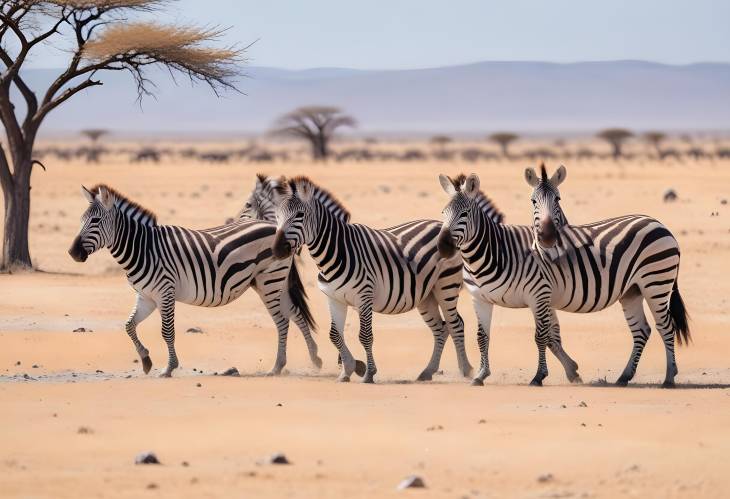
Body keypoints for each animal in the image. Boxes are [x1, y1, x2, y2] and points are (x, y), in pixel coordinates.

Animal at [68, 186, 318, 376]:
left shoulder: (165, 292)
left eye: (95, 220)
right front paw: (146, 360)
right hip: (271, 282)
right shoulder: (146, 296)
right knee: (295, 313)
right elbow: (129, 326)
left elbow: (167, 331)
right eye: (81, 220)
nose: (72, 253)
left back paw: (277, 367)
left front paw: (169, 368)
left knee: (282, 321)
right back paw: (314, 357)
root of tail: (274, 226)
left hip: (269, 280)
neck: (143, 248)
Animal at [270, 176, 504, 382]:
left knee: (456, 325)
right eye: (277, 215)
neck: (336, 252)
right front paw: (347, 370)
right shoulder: (334, 298)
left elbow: (365, 336)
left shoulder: (364, 296)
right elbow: (334, 335)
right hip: (426, 295)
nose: (277, 249)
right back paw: (428, 371)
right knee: (441, 328)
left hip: (446, 285)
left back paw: (465, 370)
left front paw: (368, 374)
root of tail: (441, 224)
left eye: (300, 215)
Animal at [436, 173, 584, 386]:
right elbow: (483, 337)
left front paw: (557, 371)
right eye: (443, 213)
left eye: (464, 213)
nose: (443, 247)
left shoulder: (538, 295)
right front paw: (481, 374)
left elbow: (547, 334)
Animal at [524, 164, 688, 386]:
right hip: (632, 290)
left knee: (666, 327)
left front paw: (564, 372)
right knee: (642, 330)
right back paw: (624, 377)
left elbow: (547, 335)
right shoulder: (543, 297)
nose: (548, 236)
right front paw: (572, 371)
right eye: (533, 201)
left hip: (656, 282)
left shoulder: (542, 294)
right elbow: (552, 336)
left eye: (557, 199)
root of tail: (661, 225)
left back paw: (669, 377)